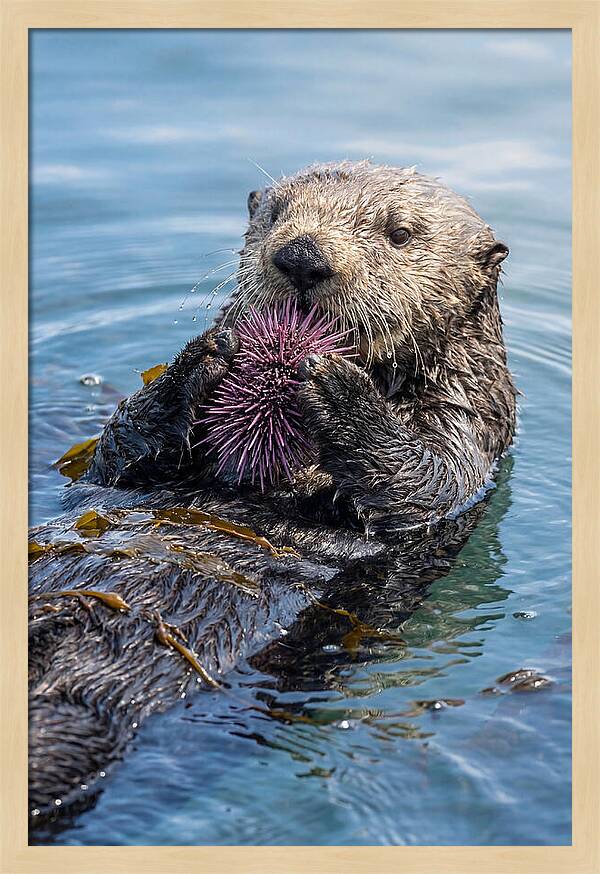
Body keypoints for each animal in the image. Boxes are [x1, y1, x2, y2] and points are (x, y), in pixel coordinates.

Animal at [28, 161, 516, 828]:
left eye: (399, 233)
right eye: (277, 213)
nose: (302, 257)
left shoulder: (470, 426)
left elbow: (426, 483)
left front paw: (339, 389)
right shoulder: (124, 468)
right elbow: (116, 455)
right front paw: (204, 356)